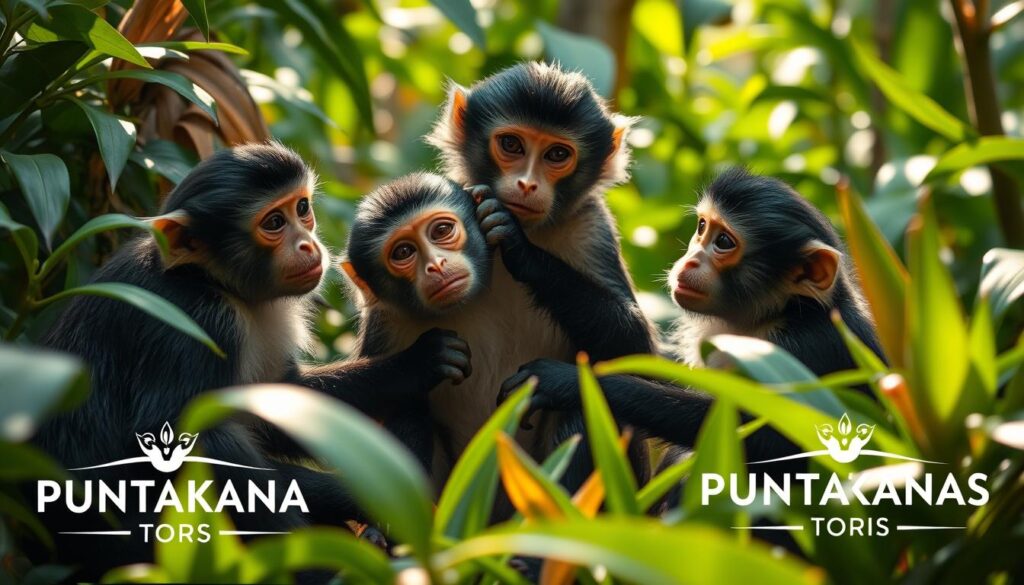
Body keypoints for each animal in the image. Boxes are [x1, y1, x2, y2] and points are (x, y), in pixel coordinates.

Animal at [28, 143, 413, 578]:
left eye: (302, 209)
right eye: (274, 222)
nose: (307, 245)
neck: (208, 279)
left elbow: (279, 404)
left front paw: (416, 365)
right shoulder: (198, 320)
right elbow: (188, 437)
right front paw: (349, 505)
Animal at [426, 61, 656, 491]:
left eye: (557, 154)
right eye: (512, 145)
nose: (527, 184)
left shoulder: (592, 229)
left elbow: (638, 354)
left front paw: (519, 247)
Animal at [504, 168, 886, 486]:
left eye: (724, 242)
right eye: (702, 228)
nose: (689, 260)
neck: (776, 315)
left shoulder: (808, 347)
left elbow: (772, 444)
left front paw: (570, 382)